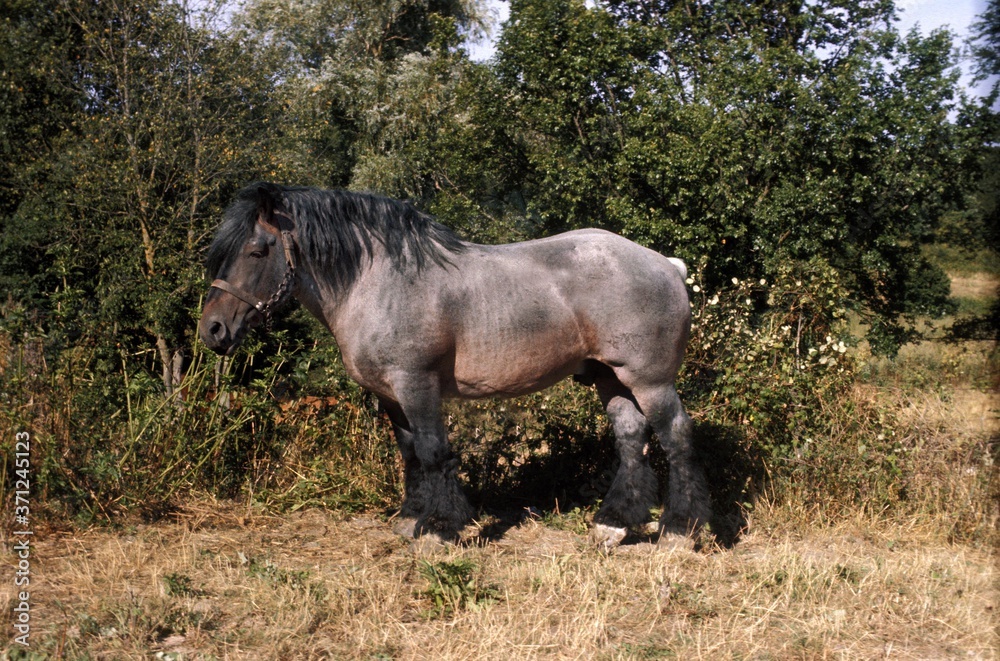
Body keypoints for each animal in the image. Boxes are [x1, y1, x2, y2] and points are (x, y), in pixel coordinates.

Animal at [197, 182, 712, 548]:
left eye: (257, 250)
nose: (213, 330)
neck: (378, 282)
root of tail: (666, 265)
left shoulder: (416, 383)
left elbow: (433, 450)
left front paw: (441, 528)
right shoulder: (391, 395)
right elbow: (409, 453)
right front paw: (411, 518)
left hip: (650, 381)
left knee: (676, 437)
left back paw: (679, 531)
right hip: (611, 377)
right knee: (630, 440)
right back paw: (613, 525)